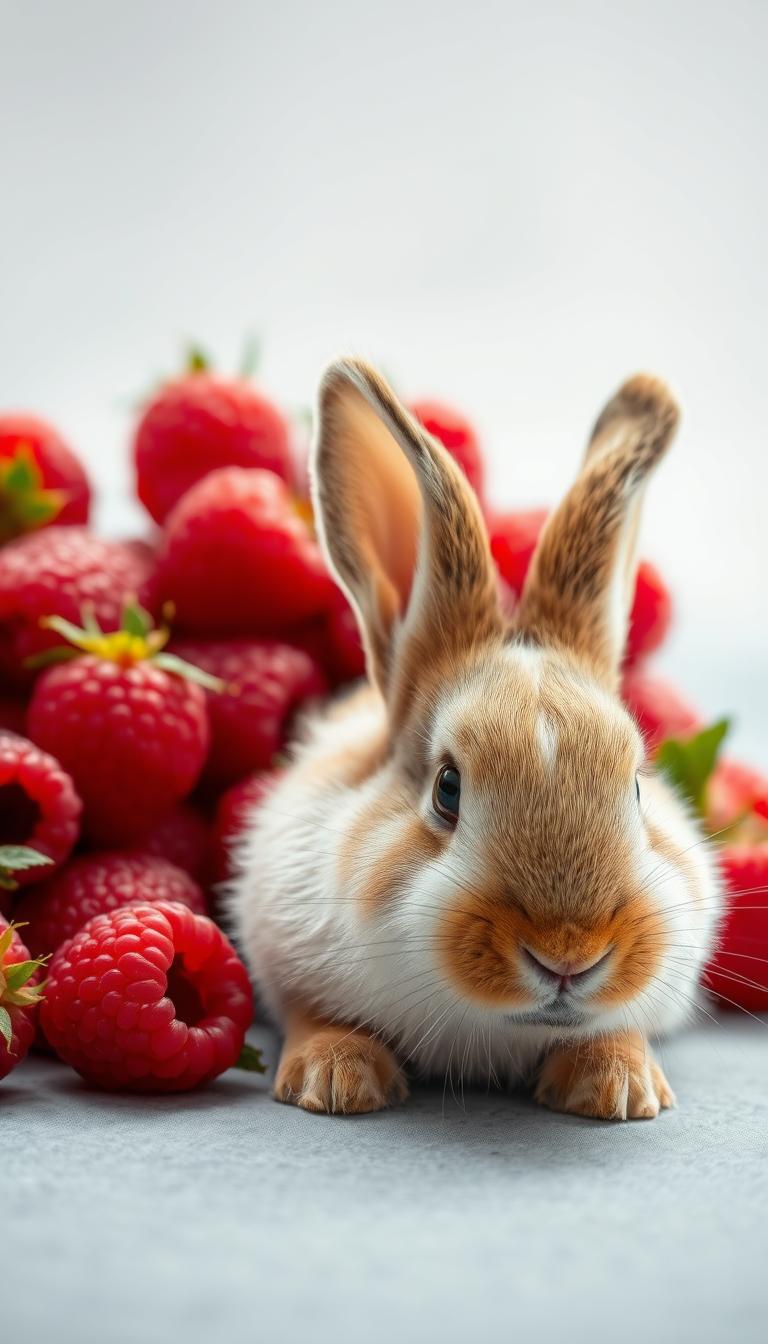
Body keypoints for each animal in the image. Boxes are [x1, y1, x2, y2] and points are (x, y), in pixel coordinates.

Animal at [228, 357, 722, 1121]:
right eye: (447, 789)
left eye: (638, 789)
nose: (567, 953)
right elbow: (313, 1014)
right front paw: (335, 1078)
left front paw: (619, 1085)